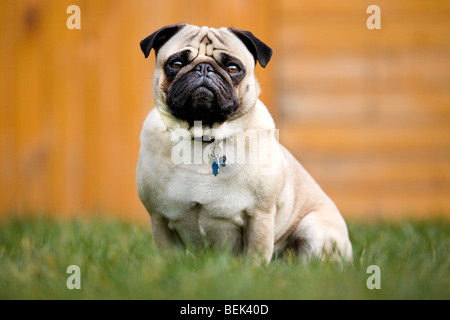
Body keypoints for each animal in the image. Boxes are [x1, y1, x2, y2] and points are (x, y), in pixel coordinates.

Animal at [135, 23, 354, 262]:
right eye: (176, 64)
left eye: (232, 68)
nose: (204, 69)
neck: (203, 135)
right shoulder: (159, 218)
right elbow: (169, 255)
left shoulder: (260, 216)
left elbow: (256, 255)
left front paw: (254, 269)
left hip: (315, 229)